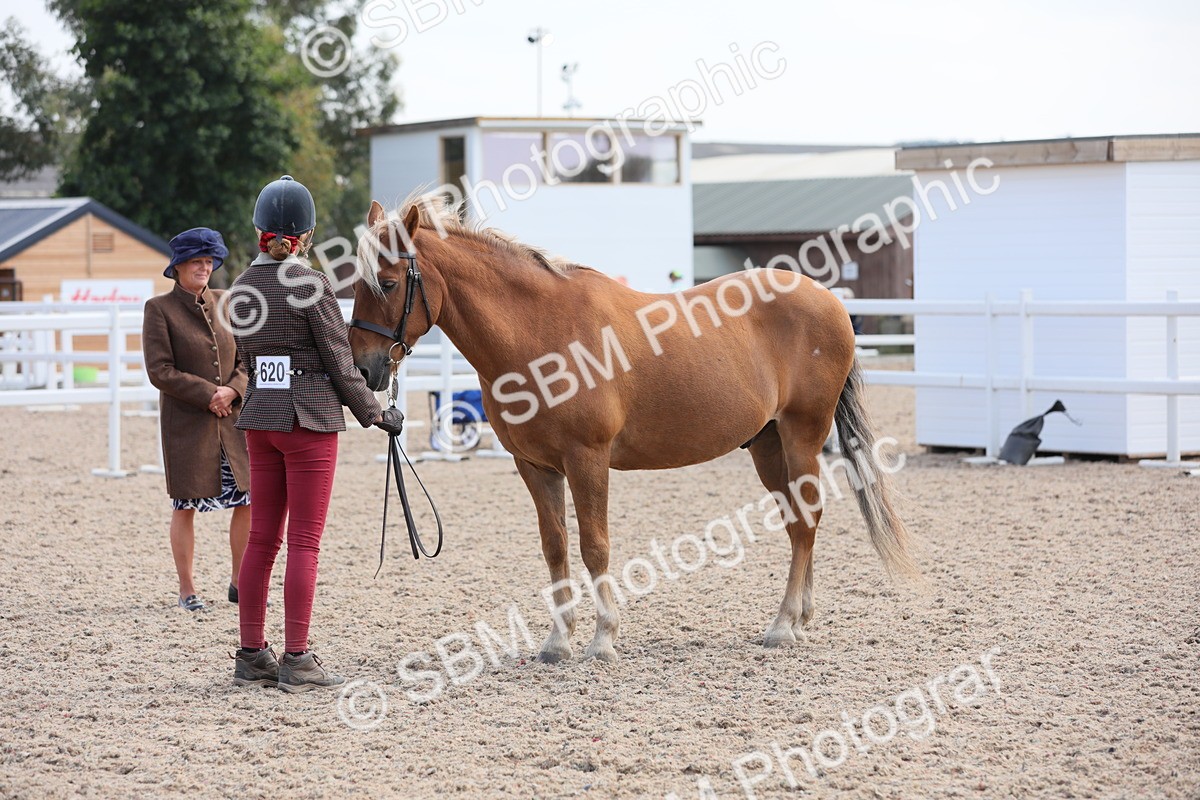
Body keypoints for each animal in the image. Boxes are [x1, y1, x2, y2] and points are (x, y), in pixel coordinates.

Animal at [348, 195, 917, 663]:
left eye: (390, 283)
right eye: (354, 285)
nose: (366, 369)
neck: (539, 333)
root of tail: (831, 301)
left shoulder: (588, 458)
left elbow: (594, 545)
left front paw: (603, 639)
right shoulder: (534, 466)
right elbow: (555, 546)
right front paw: (557, 642)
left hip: (802, 436)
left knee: (805, 522)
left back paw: (782, 626)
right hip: (768, 445)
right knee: (801, 519)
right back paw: (799, 620)